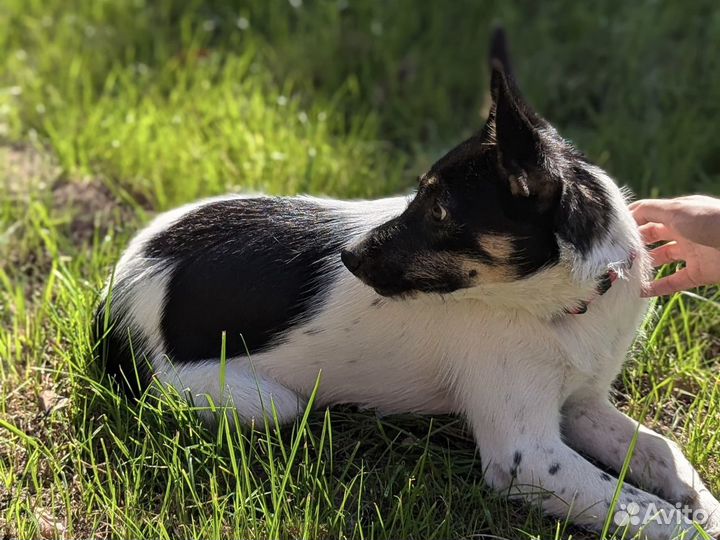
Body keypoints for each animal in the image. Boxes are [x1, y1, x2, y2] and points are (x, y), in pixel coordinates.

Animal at [97, 28, 720, 540]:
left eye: (438, 210)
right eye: (418, 194)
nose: (347, 256)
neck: (561, 304)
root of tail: (123, 282)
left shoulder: (582, 405)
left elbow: (663, 454)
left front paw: (704, 506)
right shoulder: (528, 455)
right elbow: (641, 505)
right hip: (258, 401)